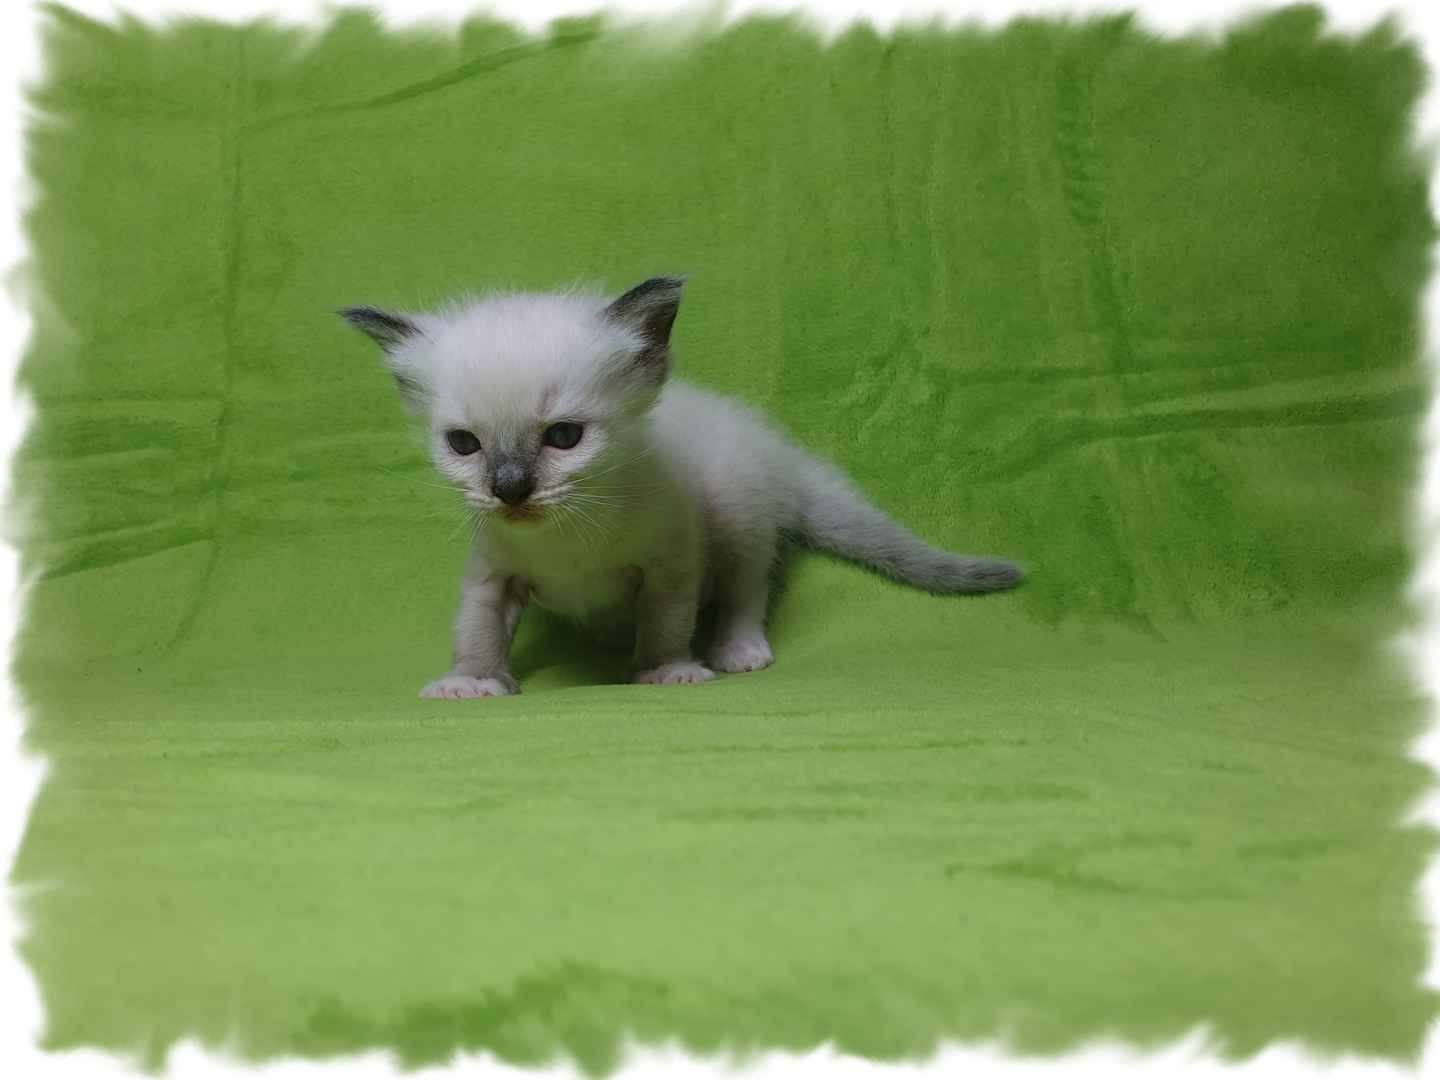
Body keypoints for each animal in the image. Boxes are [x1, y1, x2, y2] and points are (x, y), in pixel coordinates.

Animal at [341, 277, 1022, 697]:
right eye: (464, 445)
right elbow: (475, 630)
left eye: (564, 436)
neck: (567, 536)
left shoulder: (671, 564)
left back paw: (737, 651)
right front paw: (474, 681)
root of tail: (774, 450)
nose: (510, 490)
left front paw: (665, 671)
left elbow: (668, 622)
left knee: (747, 591)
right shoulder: (491, 576)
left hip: (737, 509)